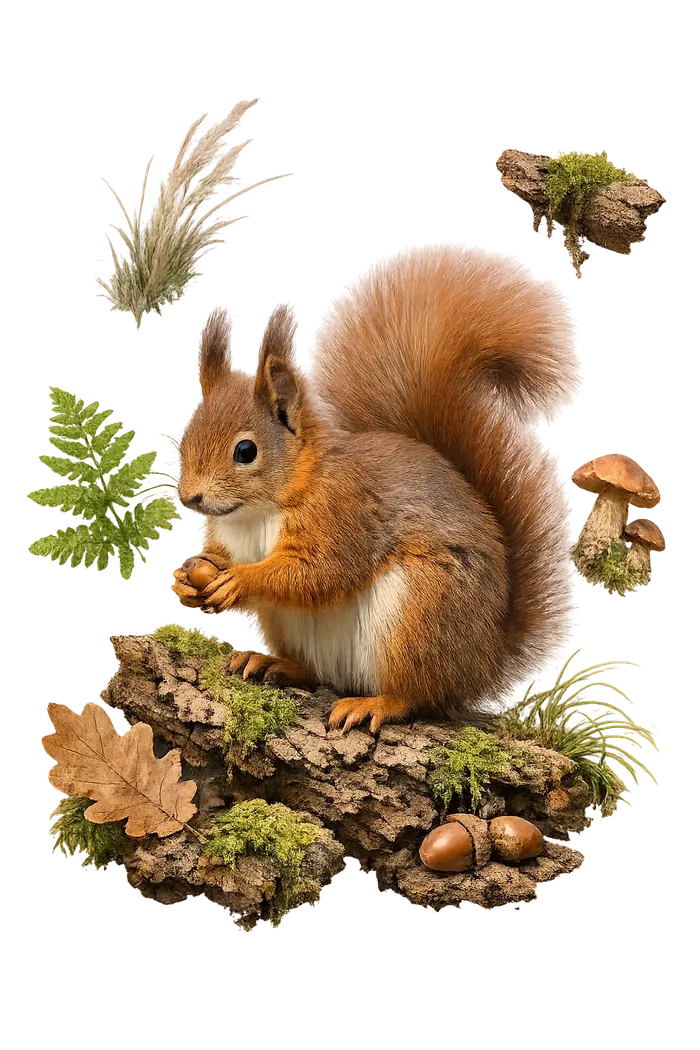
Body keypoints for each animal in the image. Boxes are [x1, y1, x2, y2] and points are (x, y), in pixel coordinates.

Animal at [171, 239, 582, 734]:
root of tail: (485, 660)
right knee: (316, 671)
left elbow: (319, 571)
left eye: (246, 451)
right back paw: (274, 663)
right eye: (186, 435)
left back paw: (375, 703)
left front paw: (242, 578)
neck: (262, 509)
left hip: (421, 613)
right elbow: (221, 558)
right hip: (287, 626)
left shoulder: (344, 512)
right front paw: (186, 577)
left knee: (416, 695)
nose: (189, 497)